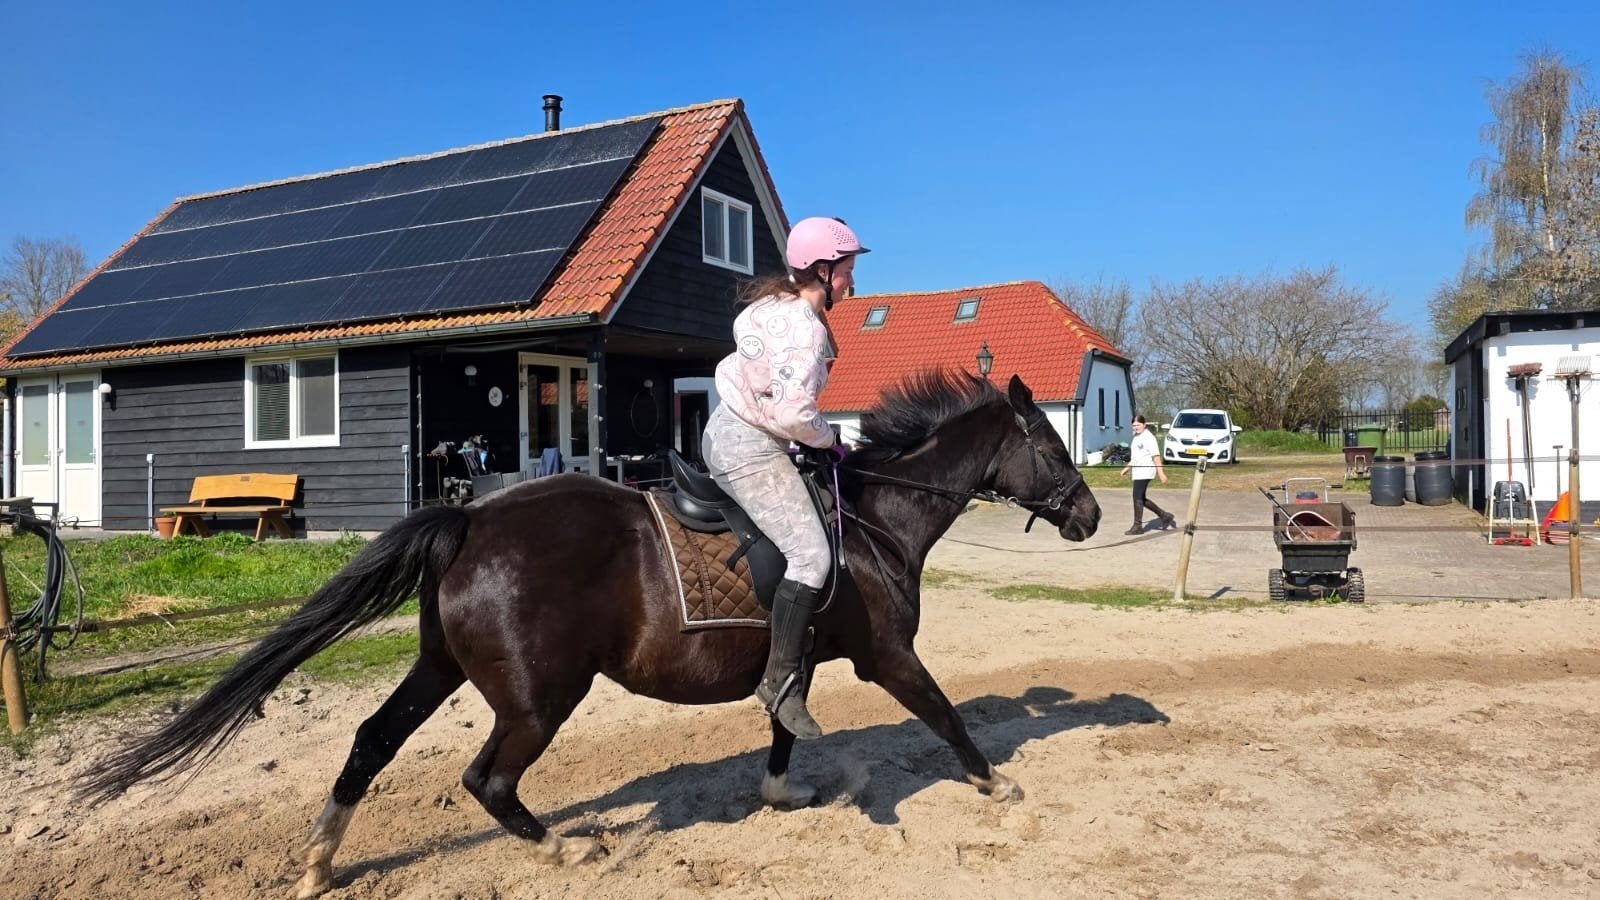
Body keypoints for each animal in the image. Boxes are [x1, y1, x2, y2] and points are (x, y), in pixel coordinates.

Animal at [80, 371, 1100, 898]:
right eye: (1052, 444)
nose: (1090, 515)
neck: (880, 519)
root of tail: (470, 519)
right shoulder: (889, 657)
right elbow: (946, 715)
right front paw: (998, 785)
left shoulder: (799, 655)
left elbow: (782, 722)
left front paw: (785, 793)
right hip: (539, 696)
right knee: (486, 779)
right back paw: (563, 848)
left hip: (442, 667)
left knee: (371, 743)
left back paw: (321, 862)